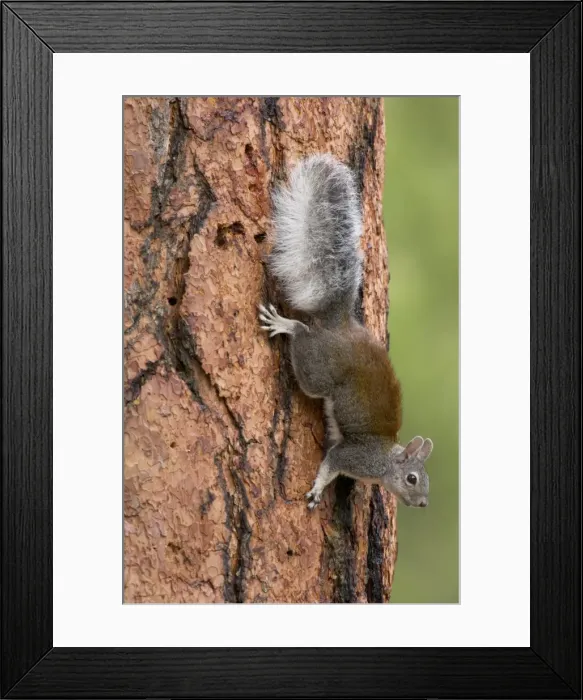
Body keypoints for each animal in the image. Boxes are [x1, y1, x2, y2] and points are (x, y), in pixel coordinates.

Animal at [258, 153, 432, 510]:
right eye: (412, 478)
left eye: (427, 481)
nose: (423, 503)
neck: (384, 460)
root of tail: (341, 325)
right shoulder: (352, 456)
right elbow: (330, 464)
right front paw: (317, 490)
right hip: (317, 370)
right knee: (302, 336)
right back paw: (286, 324)